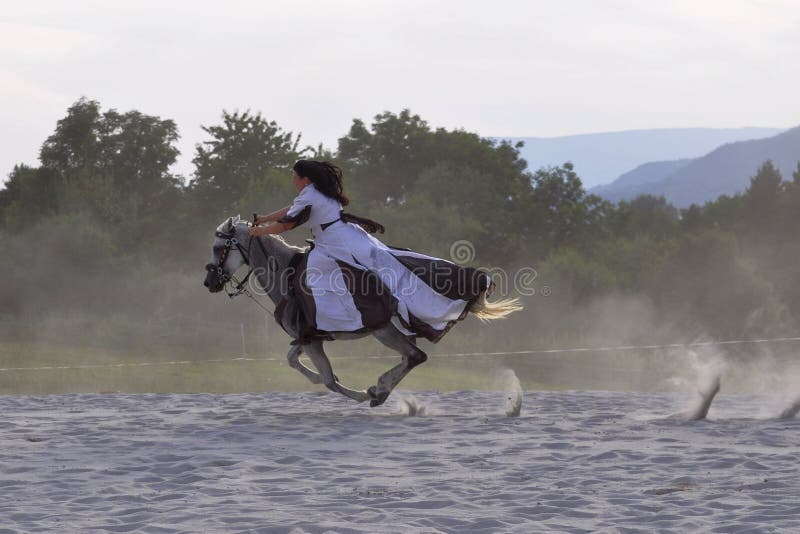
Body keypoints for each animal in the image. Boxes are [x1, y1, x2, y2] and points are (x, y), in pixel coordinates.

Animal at [203, 216, 520, 408]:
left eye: (219, 246)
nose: (209, 282)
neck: (286, 272)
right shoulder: (308, 337)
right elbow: (294, 361)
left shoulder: (312, 340)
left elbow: (329, 379)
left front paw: (358, 393)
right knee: (411, 357)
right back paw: (383, 390)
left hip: (383, 330)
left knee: (416, 356)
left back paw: (379, 391)